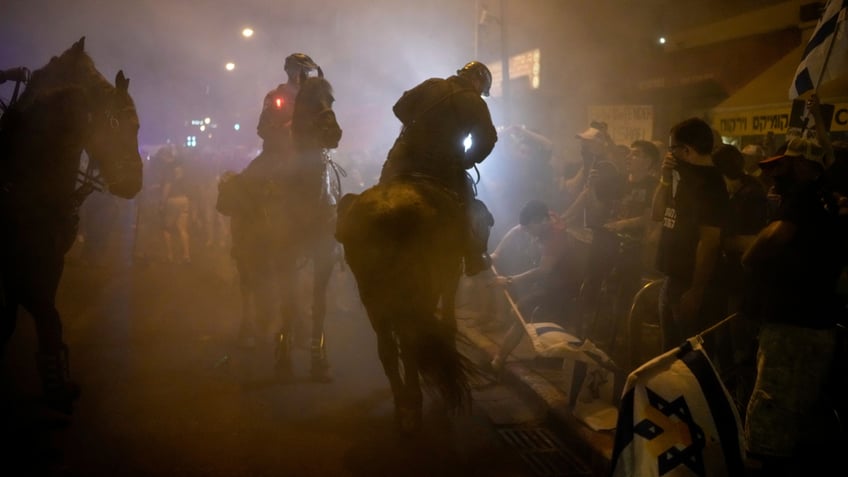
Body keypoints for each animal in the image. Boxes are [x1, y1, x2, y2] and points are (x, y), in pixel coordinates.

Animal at [334, 178, 474, 432]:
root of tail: (388, 213)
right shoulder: (449, 276)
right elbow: (448, 323)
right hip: (422, 288)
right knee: (411, 344)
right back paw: (413, 406)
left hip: (374, 297)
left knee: (388, 348)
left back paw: (402, 405)